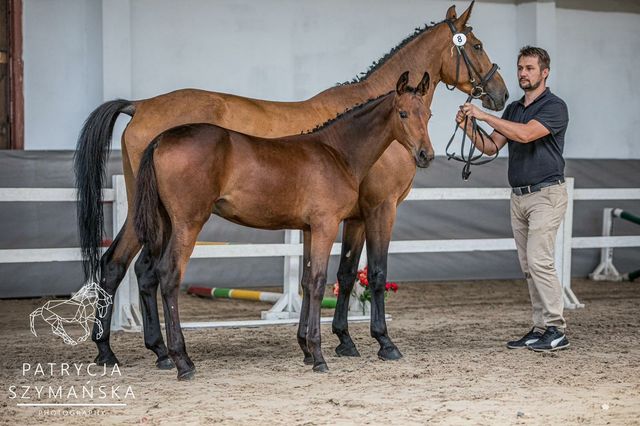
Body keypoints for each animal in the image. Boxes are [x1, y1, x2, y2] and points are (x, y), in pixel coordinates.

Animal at [133, 73, 436, 380]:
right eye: (403, 113)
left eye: (428, 114)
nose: (426, 155)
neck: (337, 151)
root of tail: (161, 139)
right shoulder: (328, 225)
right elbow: (319, 282)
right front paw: (320, 355)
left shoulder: (309, 229)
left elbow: (306, 280)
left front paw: (306, 349)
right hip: (188, 224)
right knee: (169, 275)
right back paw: (182, 361)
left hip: (165, 224)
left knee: (151, 272)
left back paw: (167, 355)